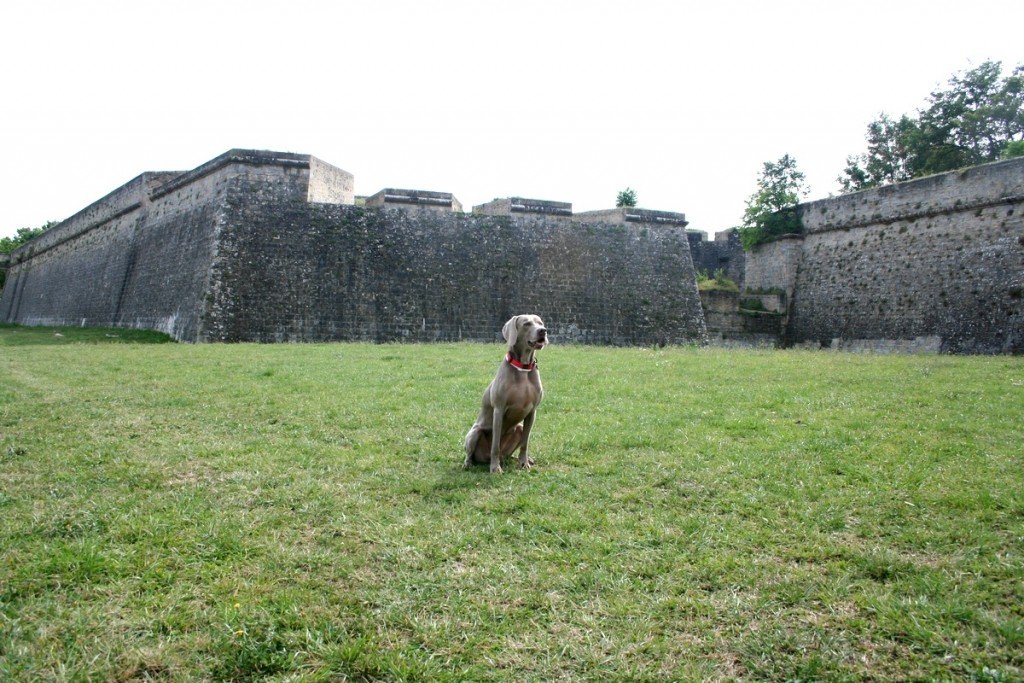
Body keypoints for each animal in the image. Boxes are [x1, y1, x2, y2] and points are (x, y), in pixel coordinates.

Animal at [462, 317, 548, 473]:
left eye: (540, 323)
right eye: (527, 324)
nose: (543, 331)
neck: (523, 368)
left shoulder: (532, 412)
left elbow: (525, 442)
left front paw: (524, 463)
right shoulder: (499, 410)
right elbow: (495, 444)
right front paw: (495, 468)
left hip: (519, 428)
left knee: (511, 451)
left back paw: (525, 459)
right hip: (474, 432)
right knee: (471, 452)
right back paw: (469, 463)